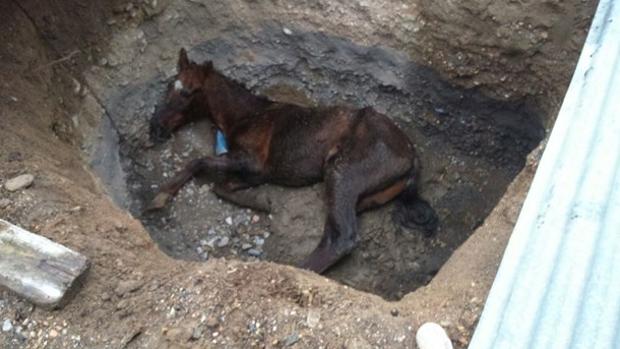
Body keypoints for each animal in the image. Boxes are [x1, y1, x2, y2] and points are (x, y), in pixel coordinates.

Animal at [148, 48, 438, 272]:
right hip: (359, 193)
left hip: (342, 173)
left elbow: (198, 163)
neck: (248, 116)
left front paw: (161, 195)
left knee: (340, 238)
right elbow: (222, 185)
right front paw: (261, 202)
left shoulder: (253, 161)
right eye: (169, 85)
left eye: (188, 92)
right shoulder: (256, 171)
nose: (154, 128)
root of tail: (412, 155)